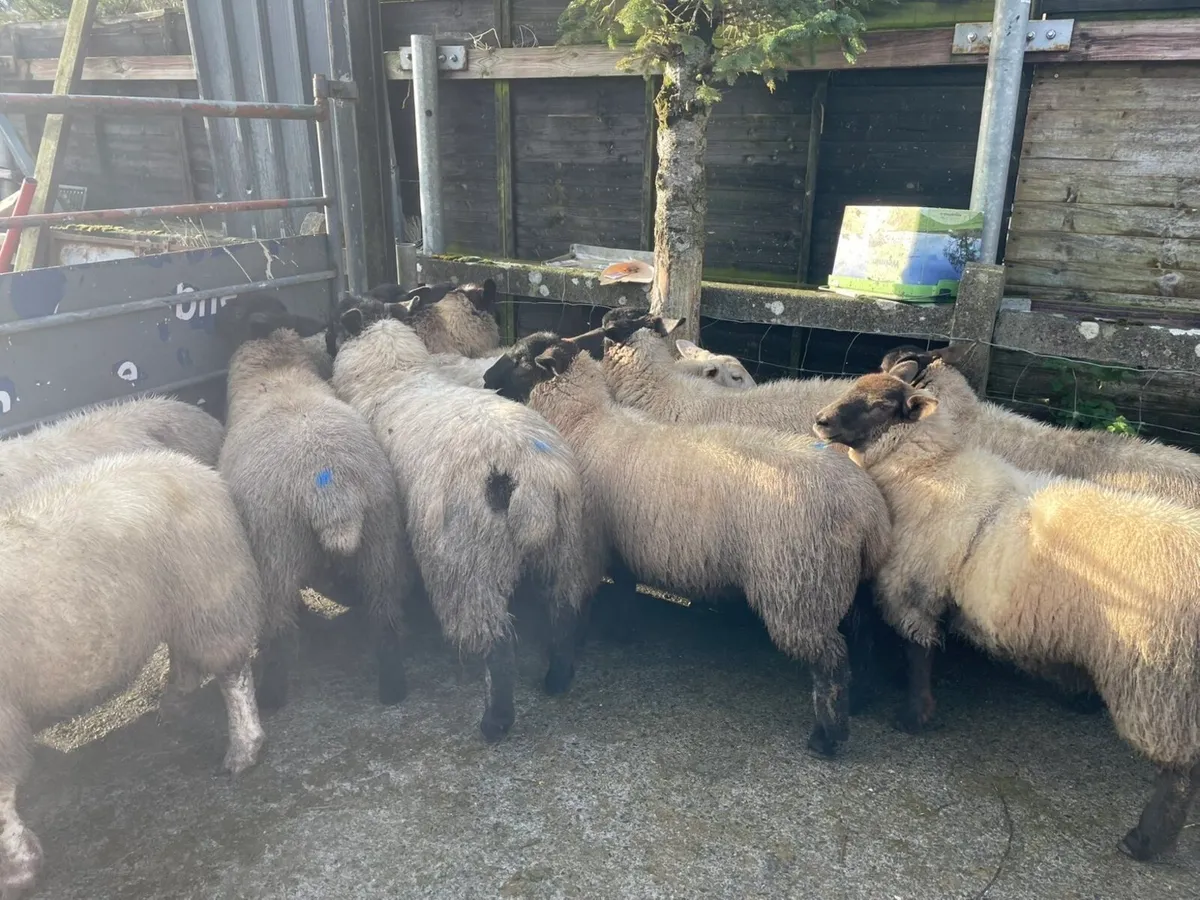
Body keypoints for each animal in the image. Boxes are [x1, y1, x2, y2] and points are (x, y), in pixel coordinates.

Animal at [0, 450, 267, 897]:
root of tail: (194, 469)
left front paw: (20, 870)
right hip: (182, 605)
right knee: (186, 656)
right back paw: (174, 701)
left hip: (211, 594)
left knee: (234, 674)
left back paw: (244, 748)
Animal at [216, 301, 415, 712]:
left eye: (234, 312)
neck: (276, 370)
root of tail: (332, 494)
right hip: (381, 544)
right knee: (385, 619)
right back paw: (392, 687)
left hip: (276, 553)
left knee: (280, 629)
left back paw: (272, 694)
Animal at [330, 297, 599, 742]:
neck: (394, 379)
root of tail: (529, 473)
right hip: (565, 545)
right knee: (563, 611)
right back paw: (557, 679)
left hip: (468, 562)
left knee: (497, 643)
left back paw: (496, 721)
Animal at [482, 331, 892, 758]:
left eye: (518, 358)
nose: (485, 378)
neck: (586, 423)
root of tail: (868, 509)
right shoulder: (622, 535)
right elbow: (624, 583)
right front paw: (623, 632)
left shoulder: (582, 542)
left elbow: (570, 606)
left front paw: (561, 671)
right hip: (847, 580)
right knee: (864, 638)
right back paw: (860, 699)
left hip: (799, 585)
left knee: (831, 661)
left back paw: (828, 737)